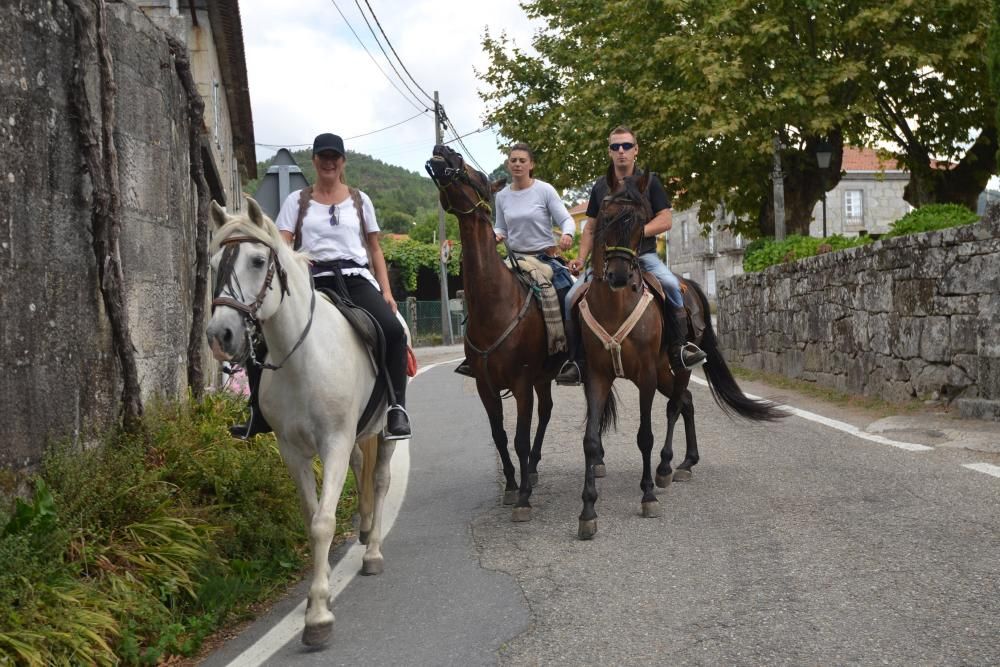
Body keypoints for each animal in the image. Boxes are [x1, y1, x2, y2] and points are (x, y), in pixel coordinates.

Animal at [204, 200, 398, 648]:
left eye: (258, 261)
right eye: (213, 264)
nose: (220, 335)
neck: (301, 358)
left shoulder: (334, 442)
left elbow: (324, 522)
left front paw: (319, 615)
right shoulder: (291, 451)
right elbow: (311, 520)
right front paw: (315, 597)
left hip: (385, 430)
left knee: (380, 480)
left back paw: (373, 551)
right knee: (362, 467)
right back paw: (365, 530)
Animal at [422, 145, 564, 520]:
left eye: (481, 176)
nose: (443, 149)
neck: (495, 305)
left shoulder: (521, 382)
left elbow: (519, 438)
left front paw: (524, 498)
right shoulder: (486, 386)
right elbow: (500, 436)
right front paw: (513, 485)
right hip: (542, 378)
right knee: (546, 411)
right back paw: (532, 469)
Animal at [576, 174, 784, 544]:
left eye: (641, 222)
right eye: (606, 218)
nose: (618, 276)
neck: (615, 307)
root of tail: (689, 286)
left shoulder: (644, 376)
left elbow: (645, 435)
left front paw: (647, 495)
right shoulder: (597, 377)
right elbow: (590, 440)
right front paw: (587, 511)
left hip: (675, 368)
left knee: (676, 406)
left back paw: (665, 467)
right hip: (664, 374)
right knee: (685, 401)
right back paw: (686, 463)